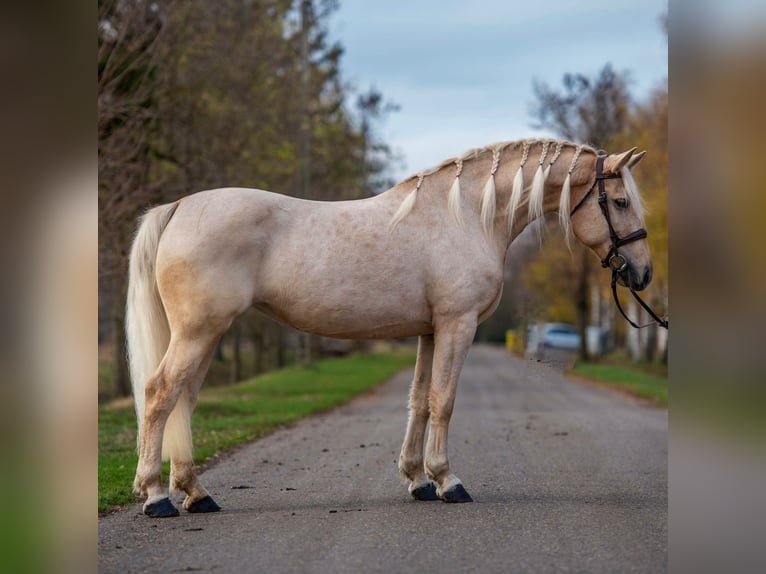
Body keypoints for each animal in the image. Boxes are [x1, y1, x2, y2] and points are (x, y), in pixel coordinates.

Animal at [126, 138, 652, 517]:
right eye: (620, 201)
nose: (642, 274)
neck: (466, 216)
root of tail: (179, 206)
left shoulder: (430, 330)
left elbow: (419, 401)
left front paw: (418, 481)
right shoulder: (457, 325)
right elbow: (444, 401)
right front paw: (448, 482)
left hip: (205, 334)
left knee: (184, 400)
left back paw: (196, 493)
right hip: (199, 331)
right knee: (160, 394)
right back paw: (157, 498)